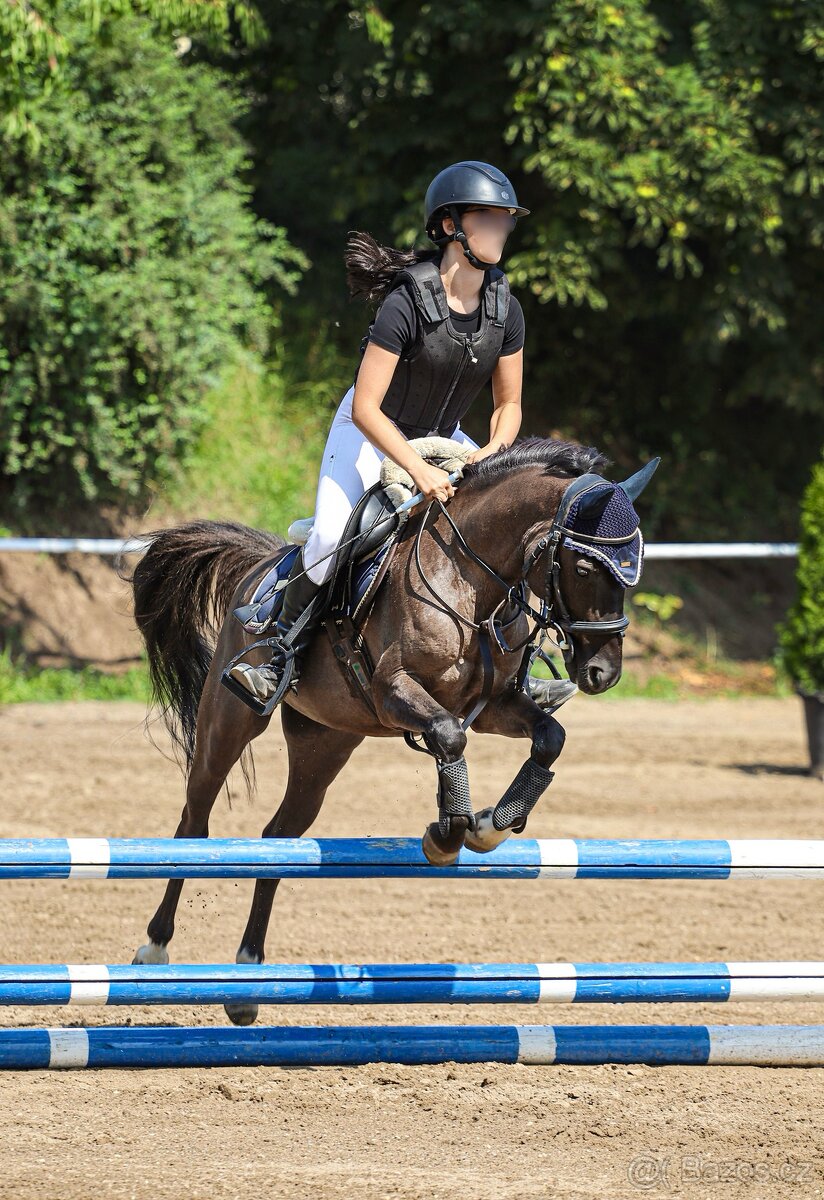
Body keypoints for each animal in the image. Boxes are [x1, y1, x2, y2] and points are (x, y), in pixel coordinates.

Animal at [122, 436, 659, 1025]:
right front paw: (447, 834)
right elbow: (449, 736)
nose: (603, 673)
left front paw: (487, 826)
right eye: (584, 567)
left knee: (278, 839)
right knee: (194, 822)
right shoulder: (394, 691)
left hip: (325, 743)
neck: (470, 580)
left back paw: (247, 979)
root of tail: (265, 560)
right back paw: (155, 948)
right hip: (229, 719)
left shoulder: (495, 705)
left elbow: (548, 738)